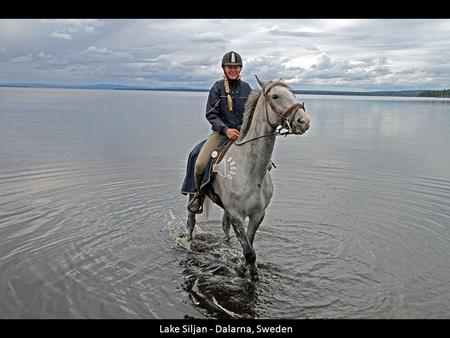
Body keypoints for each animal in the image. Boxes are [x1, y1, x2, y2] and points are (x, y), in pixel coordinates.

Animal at [185, 76, 310, 280]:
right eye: (275, 96)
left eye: (293, 95)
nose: (304, 121)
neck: (251, 171)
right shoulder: (237, 214)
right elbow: (250, 252)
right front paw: (251, 275)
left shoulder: (257, 214)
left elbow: (249, 245)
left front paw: (243, 268)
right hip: (192, 195)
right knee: (191, 222)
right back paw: (188, 243)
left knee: (224, 226)